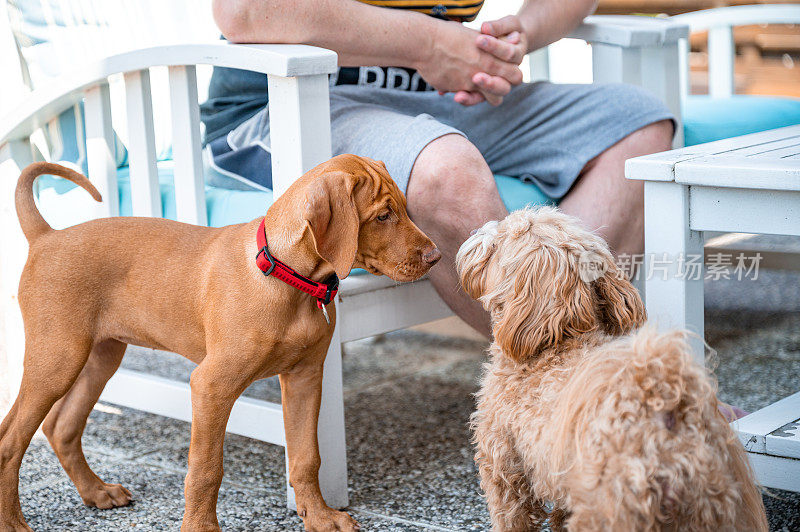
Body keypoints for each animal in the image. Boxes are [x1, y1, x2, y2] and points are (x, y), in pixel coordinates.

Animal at [0, 155, 440, 532]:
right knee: (11, 439)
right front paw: (201, 526)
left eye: (404, 208)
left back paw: (96, 492)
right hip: (57, 358)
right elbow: (206, 467)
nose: (436, 257)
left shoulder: (304, 378)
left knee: (61, 427)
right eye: (382, 215)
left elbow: (305, 457)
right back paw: (14, 521)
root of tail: (46, 236)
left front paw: (318, 516)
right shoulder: (211, 385)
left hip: (100, 356)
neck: (285, 275)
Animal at [454, 206, 764, 528]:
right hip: (706, 506)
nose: (474, 232)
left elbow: (512, 517)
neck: (558, 344)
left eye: (498, 241)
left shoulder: (504, 462)